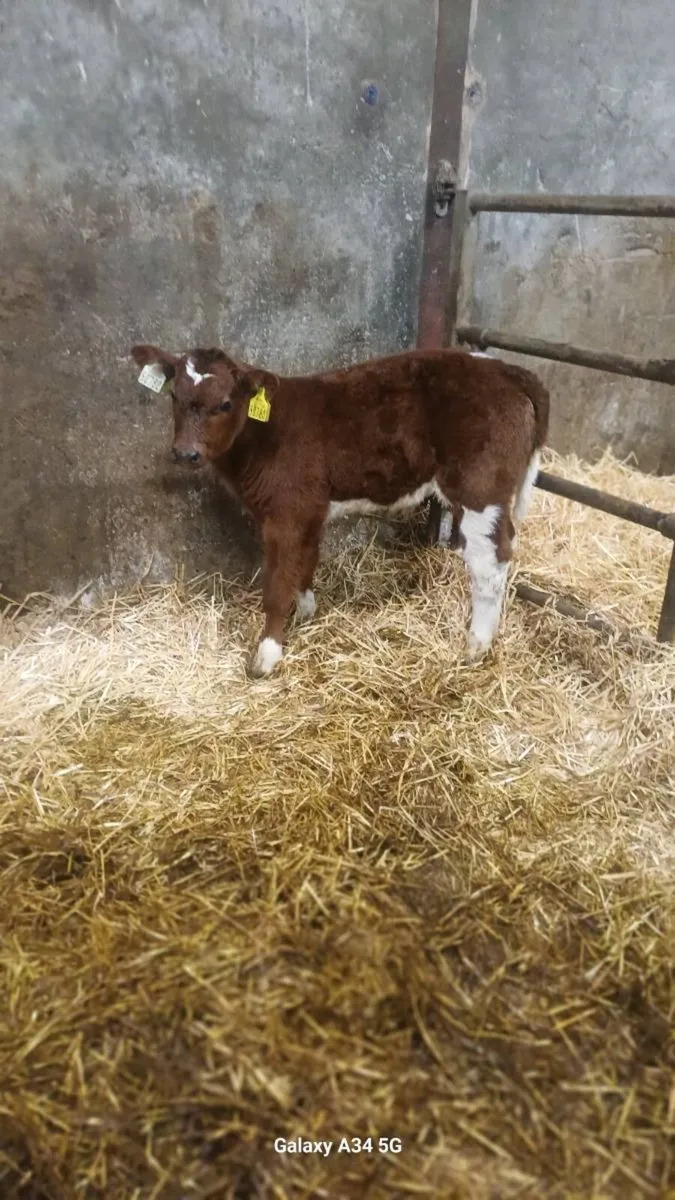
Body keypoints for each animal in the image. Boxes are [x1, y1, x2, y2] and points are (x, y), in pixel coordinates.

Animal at [130, 344, 549, 678]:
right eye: (174, 396)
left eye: (226, 403)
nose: (186, 453)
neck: (267, 431)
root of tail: (508, 369)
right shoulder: (309, 509)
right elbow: (306, 563)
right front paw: (306, 611)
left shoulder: (285, 514)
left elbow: (277, 584)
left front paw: (266, 655)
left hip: (480, 486)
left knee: (491, 562)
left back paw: (477, 644)